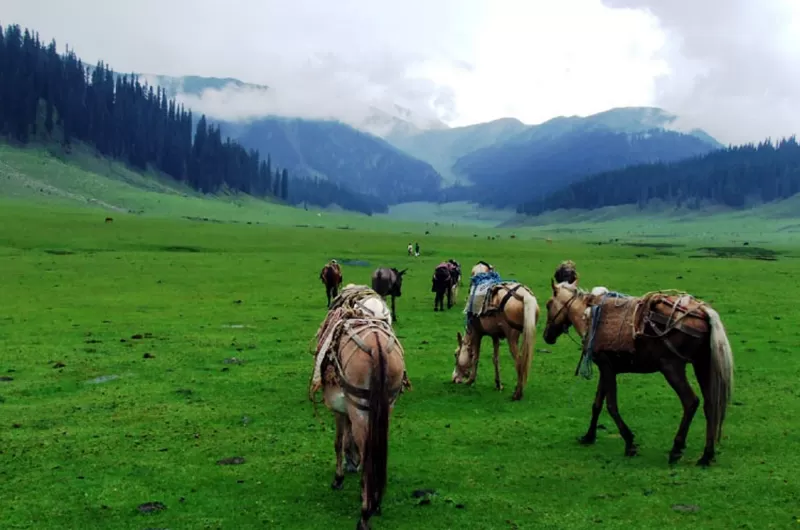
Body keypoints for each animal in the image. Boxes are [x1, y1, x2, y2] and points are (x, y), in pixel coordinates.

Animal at [310, 304, 410, 524]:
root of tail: (377, 347)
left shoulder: (340, 408)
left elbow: (339, 442)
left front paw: (338, 479)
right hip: (386, 406)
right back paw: (375, 500)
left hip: (360, 409)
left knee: (367, 452)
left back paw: (366, 512)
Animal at [540, 278, 736, 464]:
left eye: (548, 304)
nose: (547, 336)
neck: (588, 316)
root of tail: (704, 313)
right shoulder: (606, 369)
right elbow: (597, 404)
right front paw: (588, 436)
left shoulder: (606, 367)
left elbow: (611, 406)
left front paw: (629, 442)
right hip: (702, 365)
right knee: (710, 404)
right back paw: (706, 456)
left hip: (672, 367)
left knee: (691, 402)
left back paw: (676, 449)